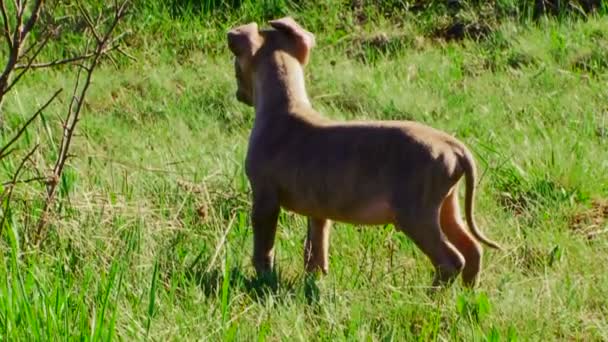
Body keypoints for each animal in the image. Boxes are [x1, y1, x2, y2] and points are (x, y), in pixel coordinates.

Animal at [226, 16, 502, 288]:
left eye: (235, 64)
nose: (238, 95)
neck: (285, 108)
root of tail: (454, 146)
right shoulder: (318, 207)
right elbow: (316, 248)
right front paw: (314, 280)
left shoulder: (265, 197)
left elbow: (264, 247)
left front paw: (263, 279)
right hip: (446, 204)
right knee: (472, 249)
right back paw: (467, 294)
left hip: (415, 213)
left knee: (451, 260)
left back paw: (432, 295)